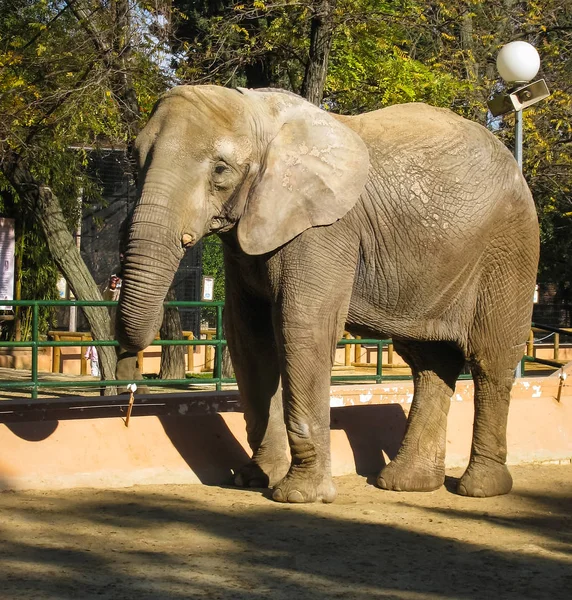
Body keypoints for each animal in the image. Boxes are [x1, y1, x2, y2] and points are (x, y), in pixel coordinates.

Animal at [117, 86, 540, 504]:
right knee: (429, 362)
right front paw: (252, 479)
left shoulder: (324, 231)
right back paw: (405, 483)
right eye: (133, 159)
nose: (131, 371)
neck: (258, 109)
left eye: (221, 170)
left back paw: (479, 489)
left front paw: (298, 495)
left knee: (490, 360)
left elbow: (303, 329)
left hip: (509, 249)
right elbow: (248, 339)